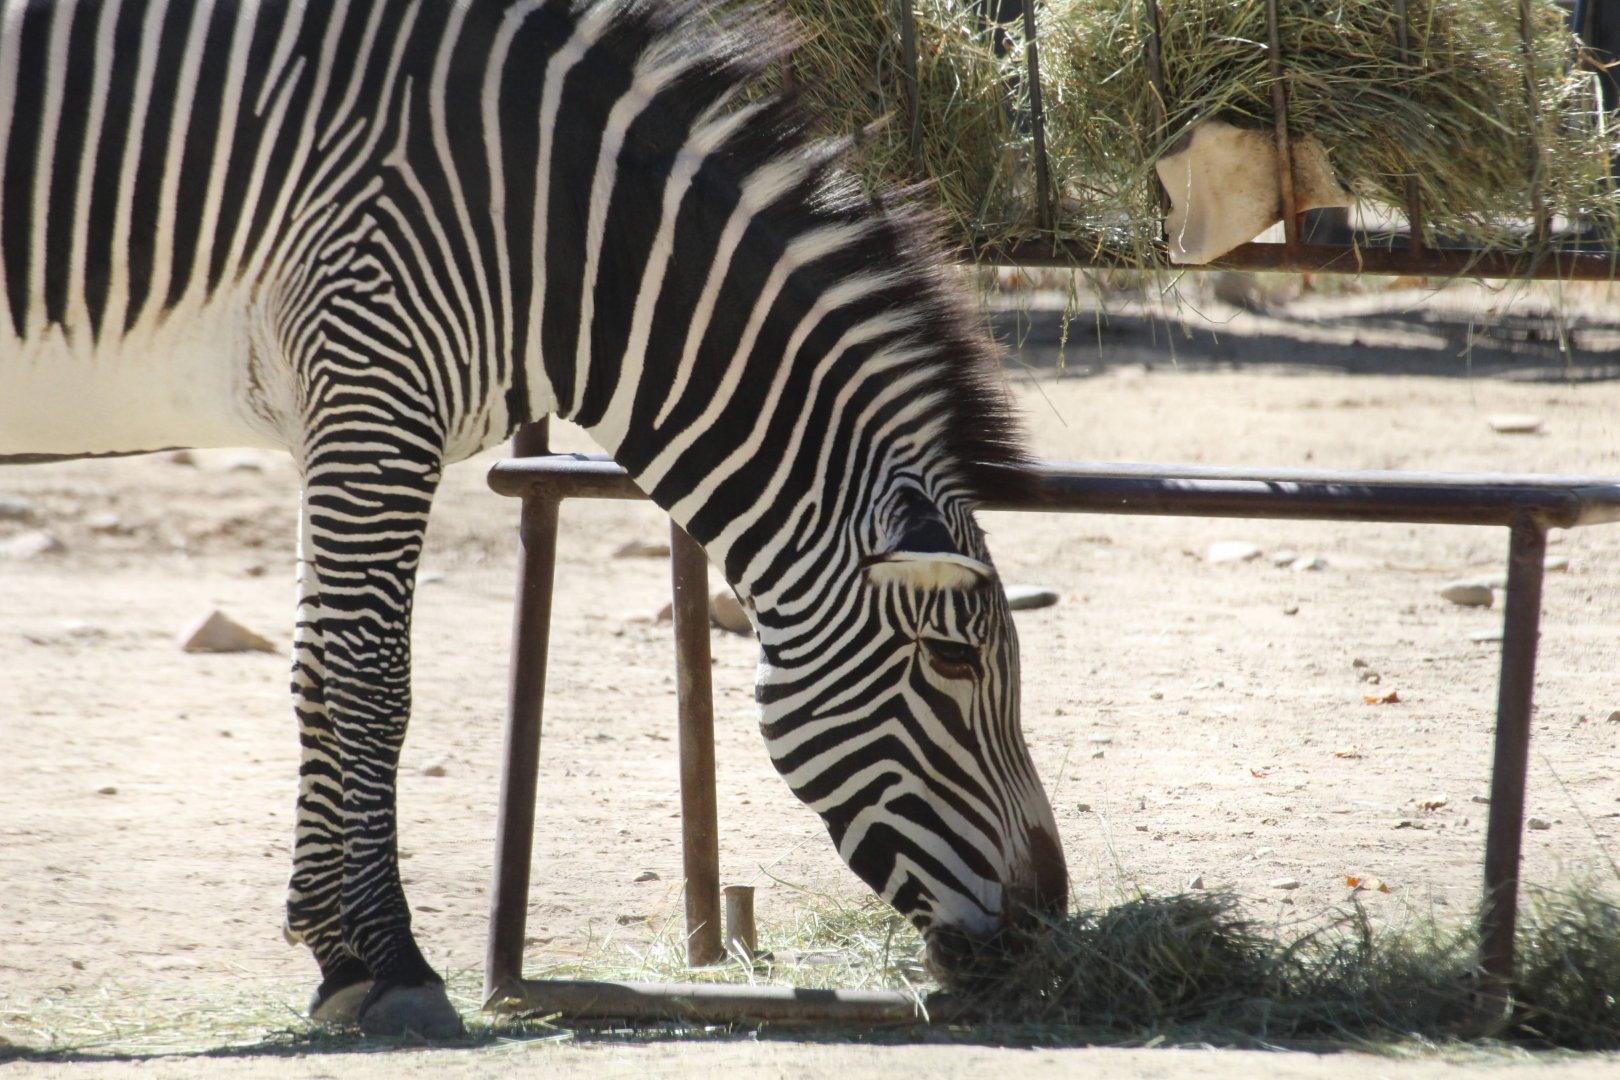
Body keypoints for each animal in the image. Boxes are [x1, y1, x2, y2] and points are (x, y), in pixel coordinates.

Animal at [0, 0, 1068, 1035]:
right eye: (955, 662)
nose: (1046, 921)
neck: (550, 229)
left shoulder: (330, 409)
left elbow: (312, 671)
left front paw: (335, 955)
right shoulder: (375, 375)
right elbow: (371, 681)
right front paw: (395, 965)